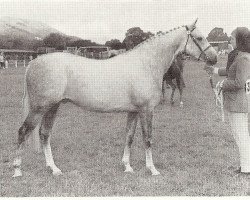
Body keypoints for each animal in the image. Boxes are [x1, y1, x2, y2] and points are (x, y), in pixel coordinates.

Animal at [12, 18, 217, 177]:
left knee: (44, 134)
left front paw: (127, 166)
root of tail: (32, 63)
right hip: (39, 108)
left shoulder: (133, 111)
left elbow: (129, 137)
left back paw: (54, 169)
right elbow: (147, 138)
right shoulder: (146, 110)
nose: (214, 58)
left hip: (53, 107)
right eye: (199, 37)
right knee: (23, 132)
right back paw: (17, 170)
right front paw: (152, 169)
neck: (145, 63)